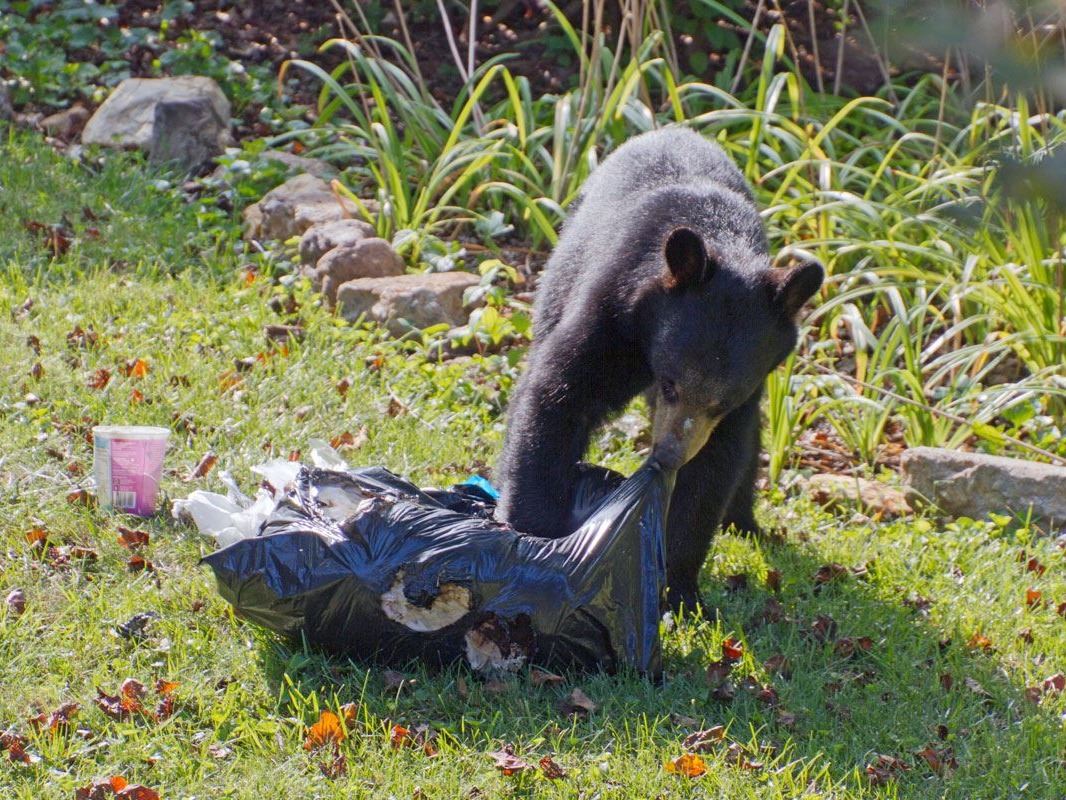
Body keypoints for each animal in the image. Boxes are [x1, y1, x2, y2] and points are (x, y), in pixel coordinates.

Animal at [494, 127, 823, 612]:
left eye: (722, 402)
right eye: (670, 384)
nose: (668, 455)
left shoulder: (746, 392)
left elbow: (716, 463)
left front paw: (680, 588)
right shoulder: (612, 310)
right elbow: (559, 393)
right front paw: (533, 535)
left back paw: (745, 521)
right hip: (560, 273)